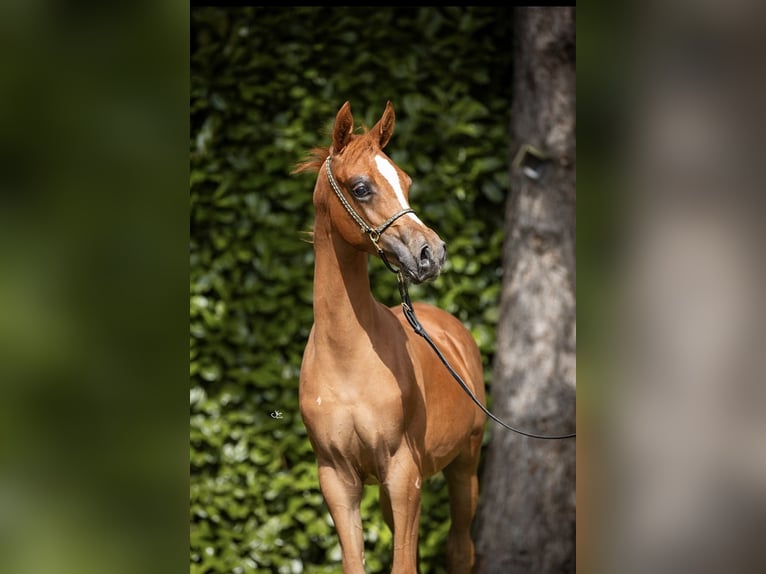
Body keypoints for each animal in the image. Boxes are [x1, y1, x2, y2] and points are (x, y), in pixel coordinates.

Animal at [295, 101, 486, 573]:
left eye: (406, 181)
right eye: (361, 187)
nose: (431, 253)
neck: (347, 356)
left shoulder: (404, 472)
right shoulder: (337, 478)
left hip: (464, 464)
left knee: (460, 550)